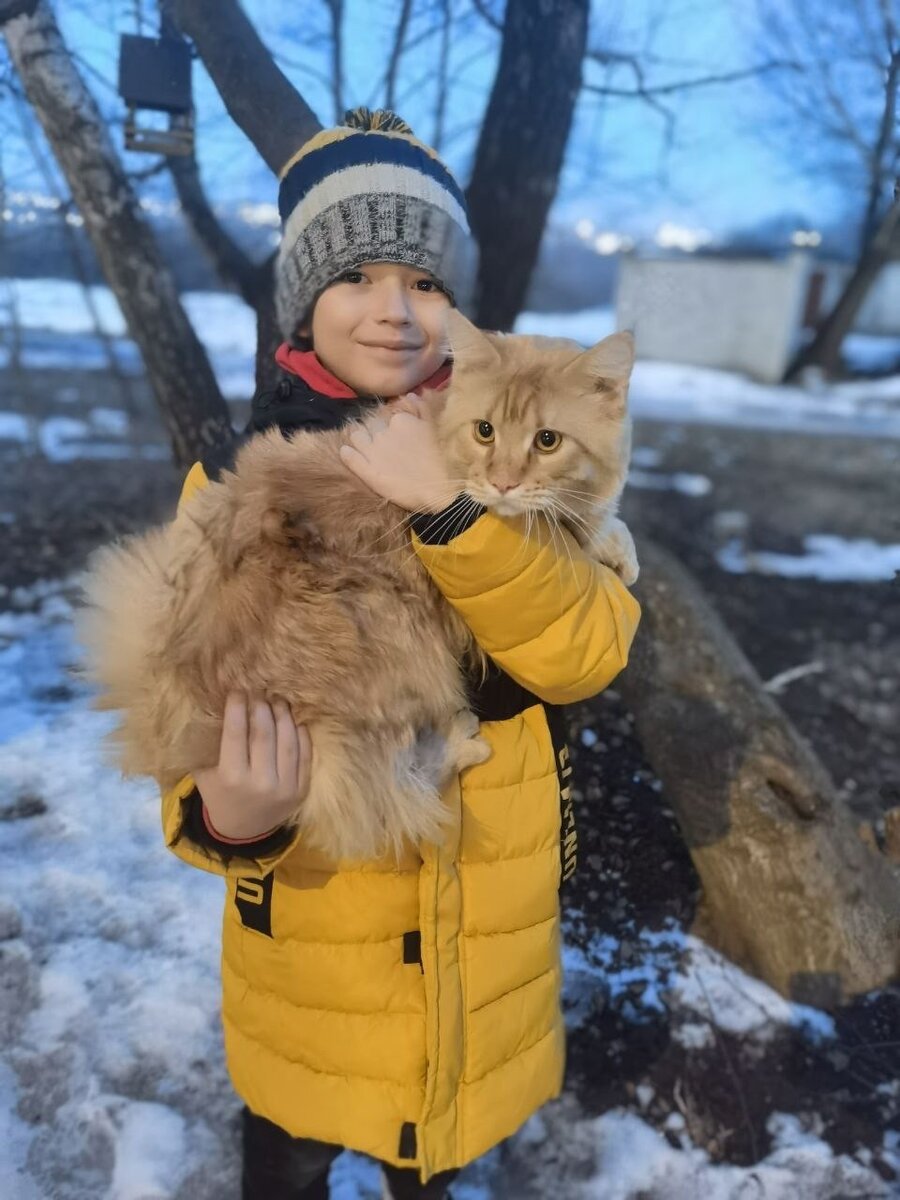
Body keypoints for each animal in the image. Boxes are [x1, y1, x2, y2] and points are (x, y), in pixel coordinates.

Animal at [77, 312, 643, 864]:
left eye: (547, 441)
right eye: (485, 431)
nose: (503, 482)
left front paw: (618, 549)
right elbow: (590, 529)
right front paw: (612, 546)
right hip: (394, 634)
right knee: (382, 793)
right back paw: (462, 742)